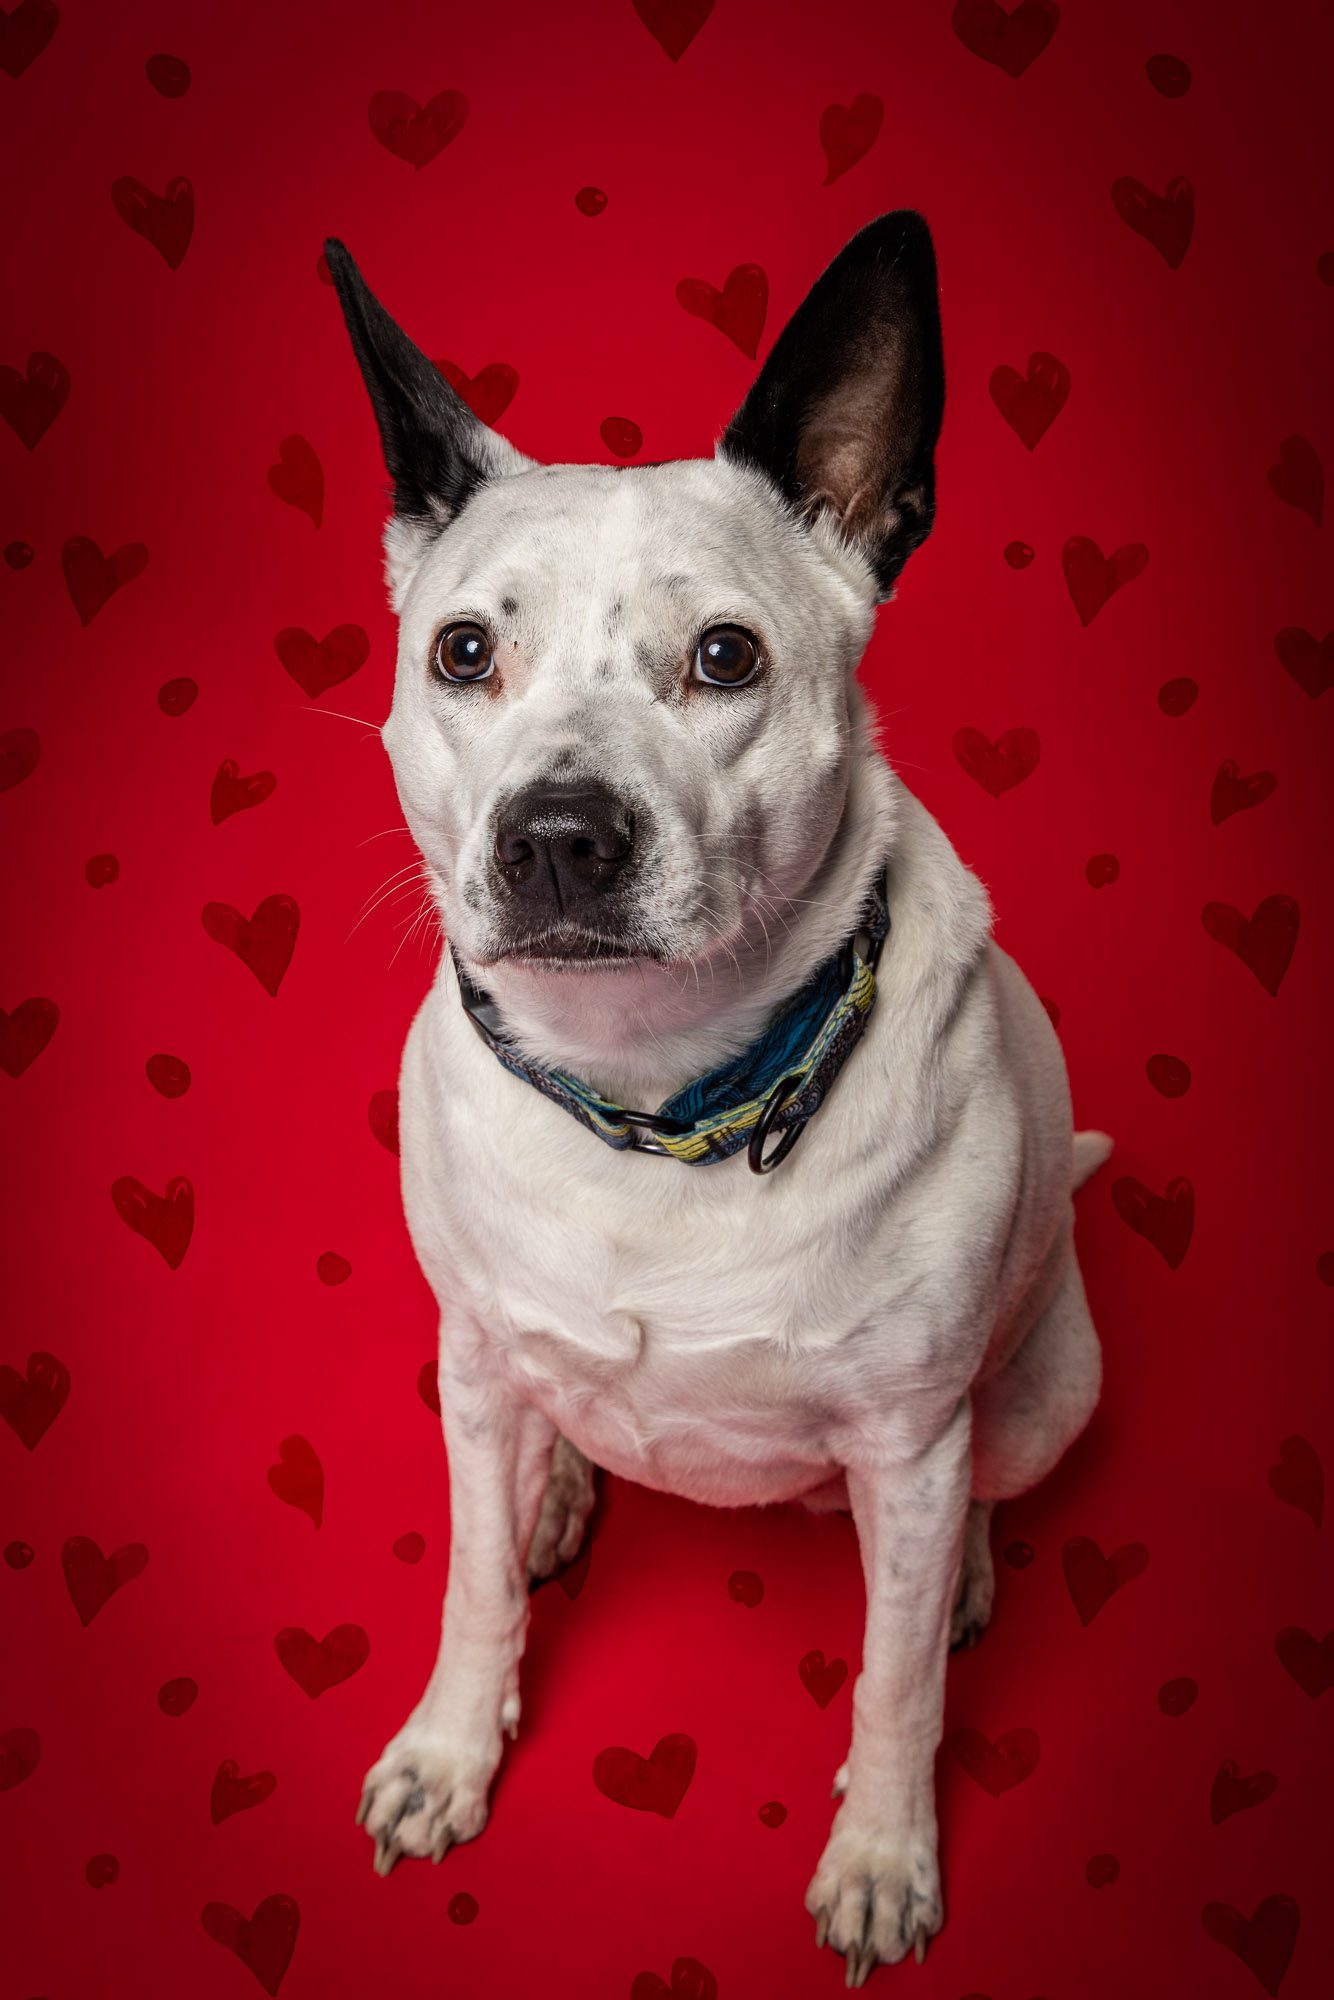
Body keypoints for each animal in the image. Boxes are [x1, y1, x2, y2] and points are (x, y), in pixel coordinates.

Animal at [326, 211, 1109, 1984]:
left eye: (725, 658)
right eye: (463, 651)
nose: (558, 833)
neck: (653, 1095)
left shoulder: (907, 1437)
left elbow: (894, 1680)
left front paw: (882, 1854)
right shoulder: (463, 1358)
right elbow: (473, 1581)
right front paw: (451, 1748)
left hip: (1046, 1391)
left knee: (973, 1505)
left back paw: (966, 1568)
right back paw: (557, 1490)